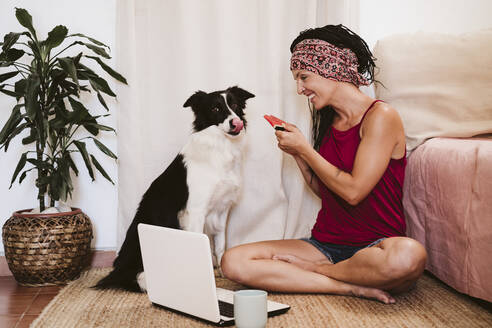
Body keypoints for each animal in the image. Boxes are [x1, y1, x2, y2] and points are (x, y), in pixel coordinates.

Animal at [94, 85, 254, 292]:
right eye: (215, 109)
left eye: (234, 105)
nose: (236, 122)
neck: (220, 147)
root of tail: (119, 268)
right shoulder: (196, 211)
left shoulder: (222, 209)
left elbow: (220, 247)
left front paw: (222, 273)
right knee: (135, 277)